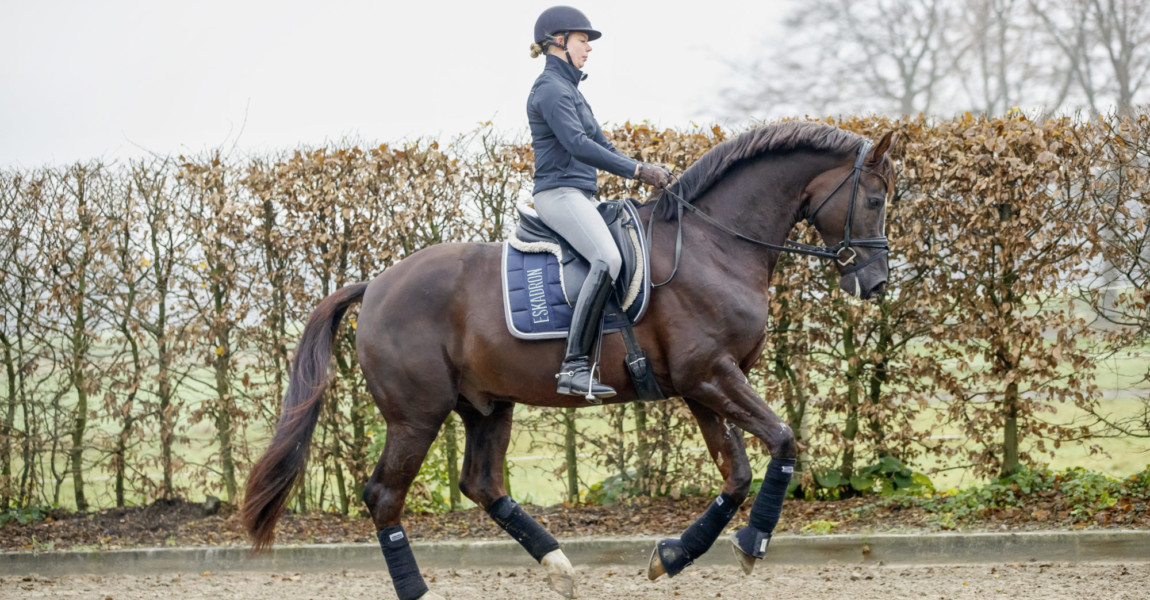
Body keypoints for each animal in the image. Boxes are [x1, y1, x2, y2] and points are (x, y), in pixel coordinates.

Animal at [242, 122, 892, 597]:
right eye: (875, 198)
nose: (876, 283)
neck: (714, 245)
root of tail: (374, 285)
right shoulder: (710, 374)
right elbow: (782, 439)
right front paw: (752, 545)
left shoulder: (704, 383)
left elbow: (734, 474)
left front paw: (671, 556)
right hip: (416, 417)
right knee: (384, 497)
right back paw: (420, 590)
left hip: (486, 406)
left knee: (480, 482)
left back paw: (557, 565)